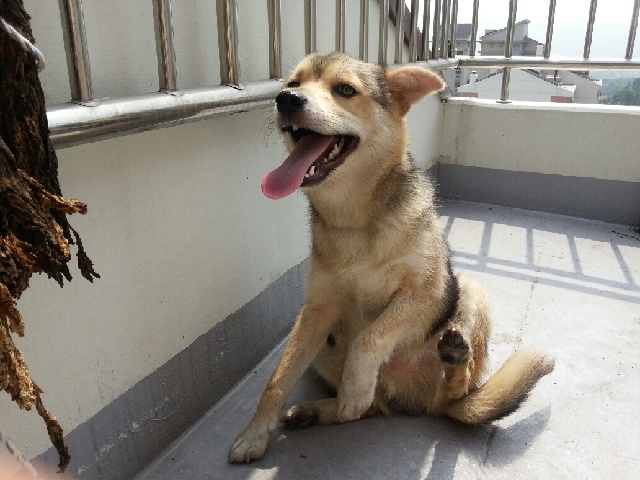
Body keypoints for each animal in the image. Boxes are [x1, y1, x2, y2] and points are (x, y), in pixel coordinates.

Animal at [228, 52, 554, 463]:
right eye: (292, 84)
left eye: (345, 90)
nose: (285, 100)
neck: (356, 220)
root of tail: (417, 401)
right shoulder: (316, 311)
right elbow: (277, 379)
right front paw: (254, 434)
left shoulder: (423, 295)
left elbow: (371, 338)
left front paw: (354, 387)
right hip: (325, 346)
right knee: (372, 409)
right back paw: (315, 411)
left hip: (469, 291)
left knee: (454, 396)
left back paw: (453, 363)